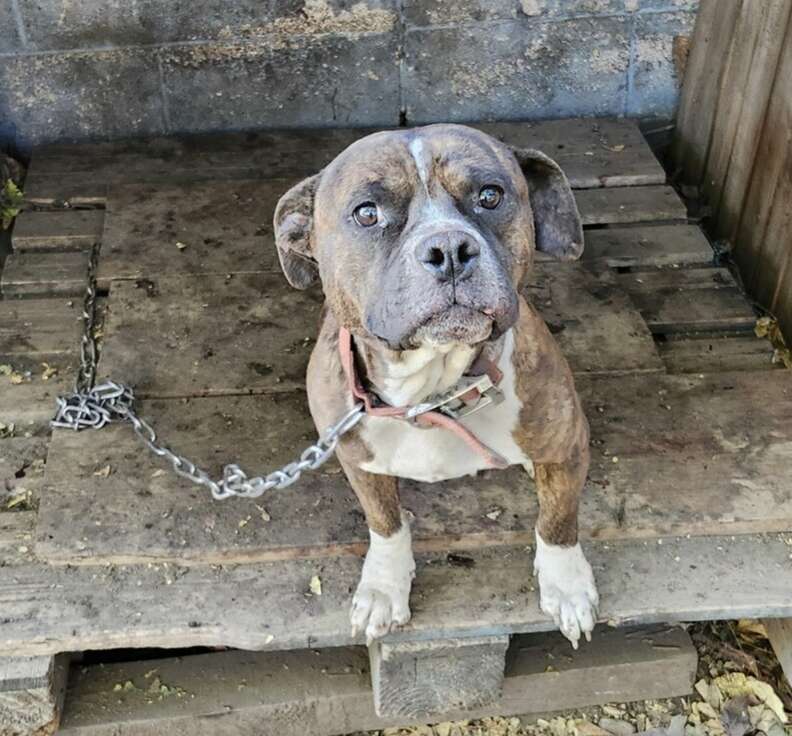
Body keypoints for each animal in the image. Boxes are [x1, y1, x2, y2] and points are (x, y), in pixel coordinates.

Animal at [276, 125, 596, 648]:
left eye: (490, 195)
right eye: (367, 213)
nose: (448, 249)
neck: (431, 395)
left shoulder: (566, 448)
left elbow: (558, 520)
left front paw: (566, 584)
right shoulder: (357, 460)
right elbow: (385, 524)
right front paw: (384, 586)